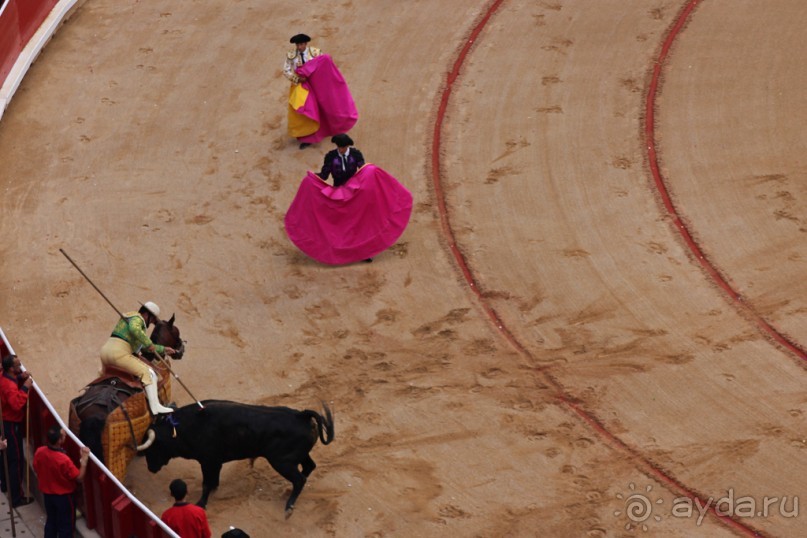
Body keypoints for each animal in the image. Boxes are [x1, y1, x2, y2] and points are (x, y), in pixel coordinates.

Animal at [137, 400, 332, 512]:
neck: (183, 428)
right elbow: (213, 481)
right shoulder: (214, 463)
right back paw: (287, 494)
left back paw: (289, 506)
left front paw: (201, 503)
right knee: (309, 467)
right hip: (296, 457)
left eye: (151, 449)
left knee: (299, 479)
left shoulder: (207, 461)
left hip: (281, 461)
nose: (150, 468)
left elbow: (206, 483)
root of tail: (301, 415)